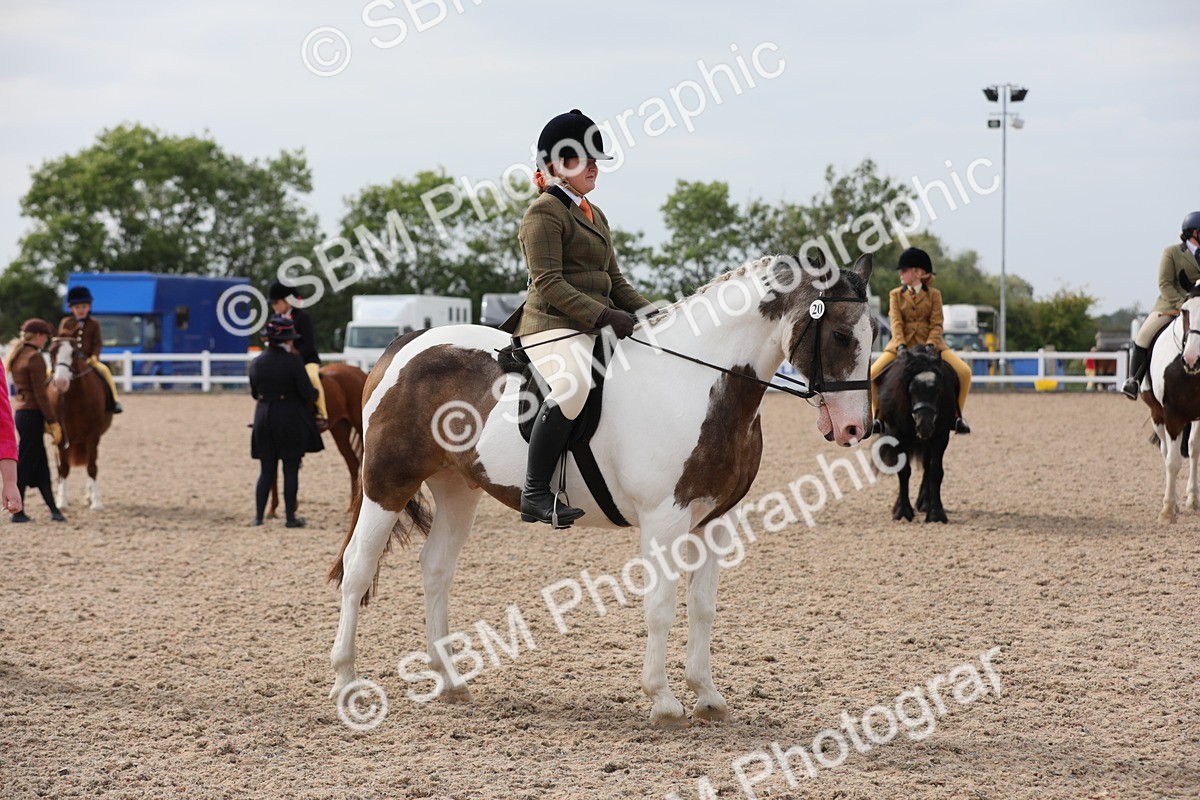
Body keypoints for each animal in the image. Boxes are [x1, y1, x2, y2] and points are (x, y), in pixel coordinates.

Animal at [47, 338, 113, 510]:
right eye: (51, 352)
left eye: (74, 353)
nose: (61, 382)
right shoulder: (61, 437)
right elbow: (64, 468)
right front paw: (62, 501)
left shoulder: (93, 437)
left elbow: (91, 467)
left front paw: (96, 502)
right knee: (59, 468)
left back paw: (90, 496)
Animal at [266, 362, 367, 518]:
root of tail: (357, 370)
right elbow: (275, 474)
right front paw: (273, 509)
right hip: (340, 429)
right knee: (352, 463)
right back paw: (351, 507)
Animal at [326, 252, 876, 725]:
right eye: (841, 335)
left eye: (872, 335)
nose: (856, 429)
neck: (694, 381)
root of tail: (405, 346)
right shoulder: (664, 520)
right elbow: (660, 607)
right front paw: (664, 701)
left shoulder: (716, 519)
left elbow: (702, 606)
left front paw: (708, 696)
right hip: (387, 483)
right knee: (358, 570)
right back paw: (347, 684)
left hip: (459, 488)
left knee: (436, 569)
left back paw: (451, 682)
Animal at [873, 344, 958, 523]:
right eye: (911, 389)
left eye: (938, 389)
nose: (924, 425)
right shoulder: (898, 435)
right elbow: (903, 472)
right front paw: (902, 511)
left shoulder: (941, 436)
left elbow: (936, 472)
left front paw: (936, 513)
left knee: (927, 467)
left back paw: (925, 503)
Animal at [1140, 288, 1200, 522]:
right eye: (1184, 311)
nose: (1192, 359)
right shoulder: (1172, 416)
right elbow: (1173, 461)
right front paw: (1167, 511)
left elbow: (1193, 451)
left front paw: (1191, 500)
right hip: (1157, 415)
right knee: (1166, 453)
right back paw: (1172, 503)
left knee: (1191, 449)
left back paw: (1191, 499)